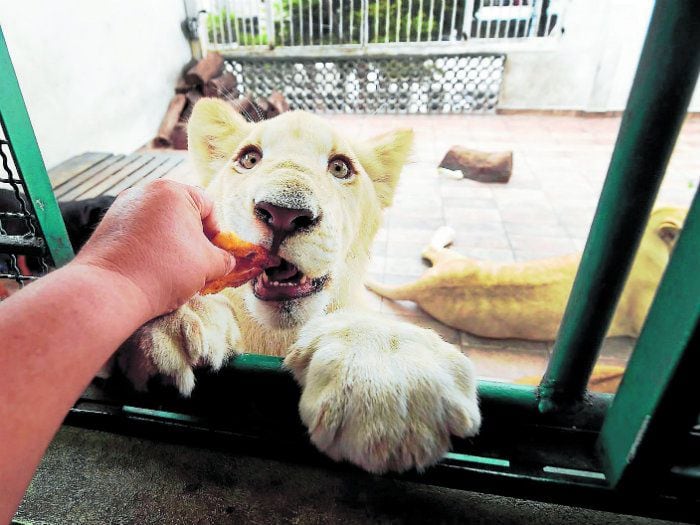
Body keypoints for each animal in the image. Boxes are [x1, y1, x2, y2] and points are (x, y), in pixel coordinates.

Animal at [120, 97, 482, 470]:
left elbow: (369, 325)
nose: (283, 213)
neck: (276, 337)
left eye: (339, 168)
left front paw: (388, 384)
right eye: (249, 159)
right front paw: (173, 324)